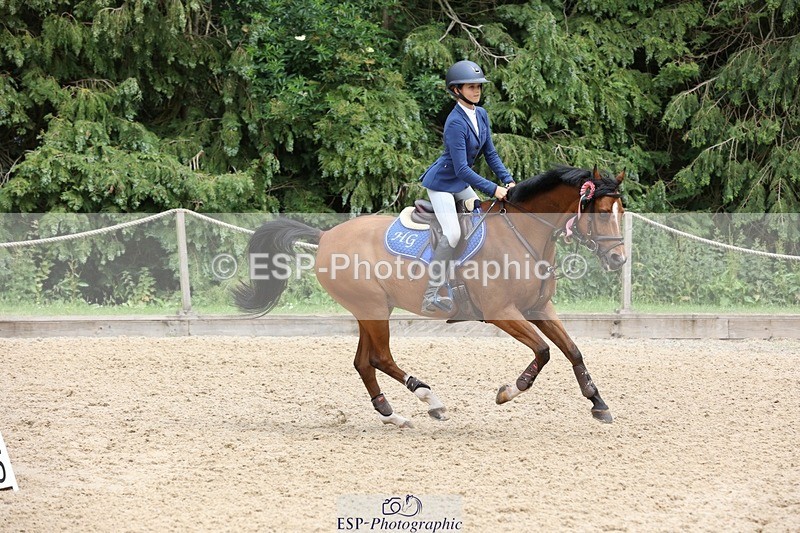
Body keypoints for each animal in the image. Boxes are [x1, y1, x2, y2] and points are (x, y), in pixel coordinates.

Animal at [234, 165, 627, 428]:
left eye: (620, 211)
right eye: (601, 212)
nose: (618, 259)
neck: (524, 232)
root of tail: (326, 236)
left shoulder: (538, 307)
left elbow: (572, 350)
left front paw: (598, 404)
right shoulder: (502, 311)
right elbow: (544, 351)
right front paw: (509, 391)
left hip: (370, 310)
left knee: (364, 362)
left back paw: (392, 414)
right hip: (373, 308)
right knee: (380, 357)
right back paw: (430, 400)